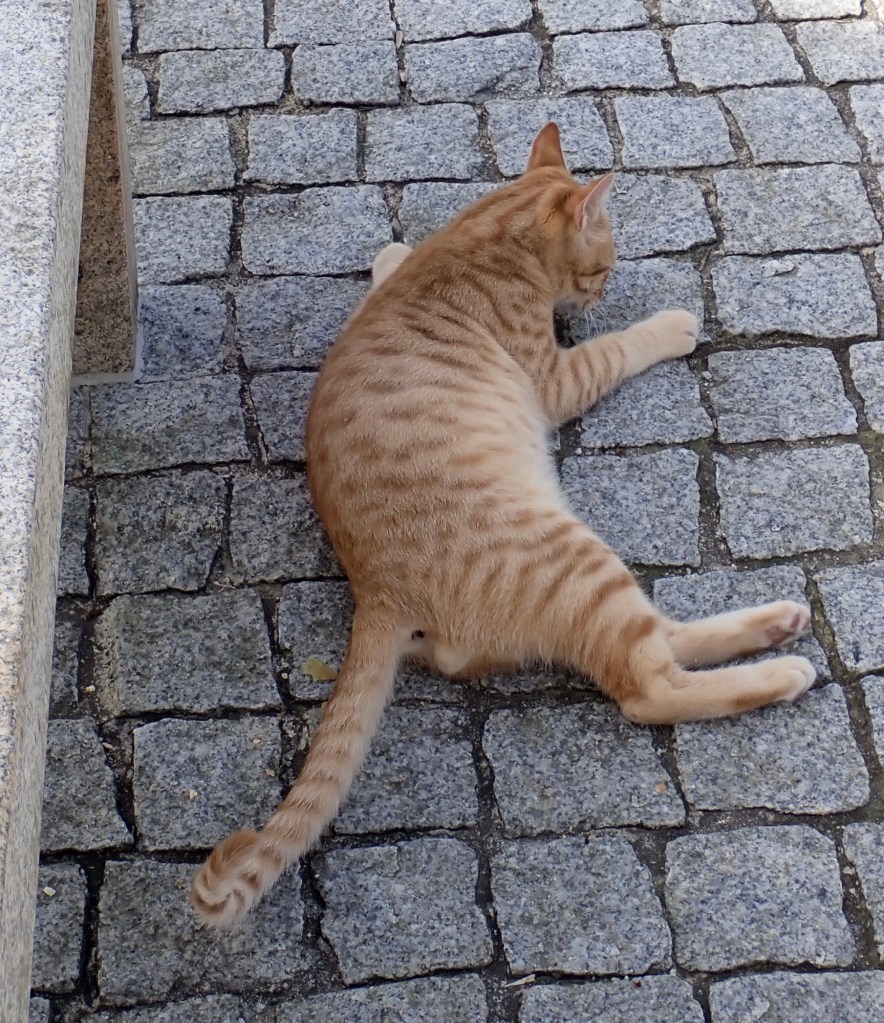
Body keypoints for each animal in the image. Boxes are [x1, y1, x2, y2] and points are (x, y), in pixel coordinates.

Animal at [191, 123, 814, 928]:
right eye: (604, 263)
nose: (602, 289)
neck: (483, 231)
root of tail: (376, 594)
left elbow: (386, 265)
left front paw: (389, 256)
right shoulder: (556, 378)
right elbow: (615, 348)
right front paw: (665, 325)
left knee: (662, 642)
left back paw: (776, 622)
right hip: (574, 558)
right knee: (646, 686)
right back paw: (780, 668)